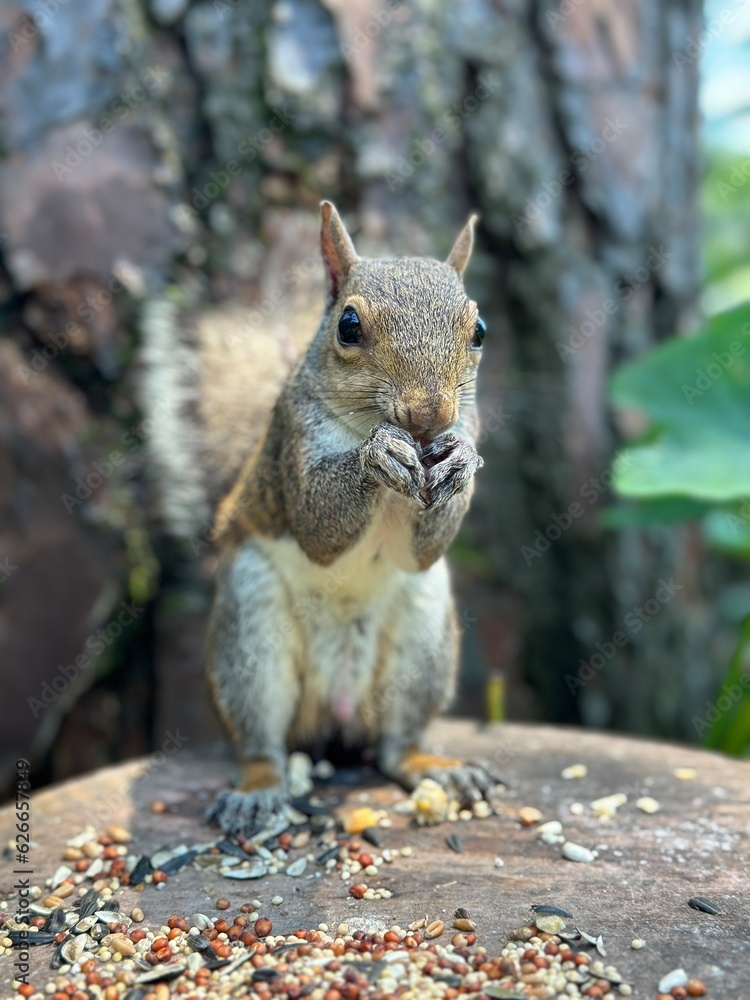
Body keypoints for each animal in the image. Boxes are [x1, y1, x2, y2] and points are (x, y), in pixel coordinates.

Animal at [142, 203, 500, 835]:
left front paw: (458, 456)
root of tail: (336, 710)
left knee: (396, 746)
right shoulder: (294, 442)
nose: (430, 414)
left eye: (478, 330)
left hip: (423, 638)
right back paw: (258, 788)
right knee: (260, 739)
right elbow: (317, 525)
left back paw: (435, 768)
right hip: (250, 627)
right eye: (348, 326)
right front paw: (375, 456)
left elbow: (425, 549)